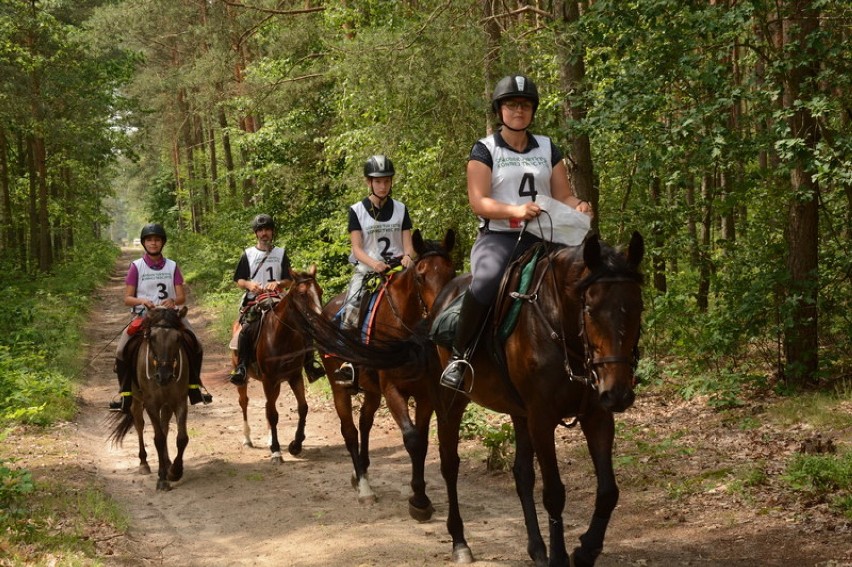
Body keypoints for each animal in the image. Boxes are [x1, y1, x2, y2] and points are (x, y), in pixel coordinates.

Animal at [109, 306, 194, 492]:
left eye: (178, 338)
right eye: (151, 337)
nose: (164, 376)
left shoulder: (179, 401)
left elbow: (182, 438)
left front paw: (175, 471)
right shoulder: (151, 404)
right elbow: (159, 439)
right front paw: (162, 479)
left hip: (167, 403)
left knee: (164, 425)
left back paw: (167, 462)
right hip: (136, 400)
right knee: (139, 425)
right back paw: (144, 463)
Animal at [231, 266, 324, 466]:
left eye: (319, 291)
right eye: (302, 294)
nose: (319, 321)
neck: (282, 336)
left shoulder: (294, 376)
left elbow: (302, 408)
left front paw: (295, 445)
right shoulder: (269, 380)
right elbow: (273, 414)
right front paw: (276, 451)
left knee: (268, 406)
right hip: (245, 377)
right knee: (245, 402)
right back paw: (248, 439)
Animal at [316, 230, 456, 516]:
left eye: (452, 272)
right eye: (420, 276)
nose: (440, 314)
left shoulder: (425, 394)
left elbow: (422, 442)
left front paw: (420, 496)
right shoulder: (392, 390)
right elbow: (412, 439)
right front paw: (419, 502)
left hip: (371, 391)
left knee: (364, 422)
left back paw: (362, 471)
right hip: (338, 387)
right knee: (350, 431)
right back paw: (364, 488)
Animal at [432, 232, 644, 567]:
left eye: (638, 306)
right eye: (590, 309)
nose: (619, 393)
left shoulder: (596, 415)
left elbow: (608, 491)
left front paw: (585, 550)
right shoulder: (542, 419)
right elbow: (554, 493)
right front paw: (560, 556)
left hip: (520, 413)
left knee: (522, 474)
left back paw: (536, 548)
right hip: (451, 401)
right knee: (450, 464)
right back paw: (460, 542)